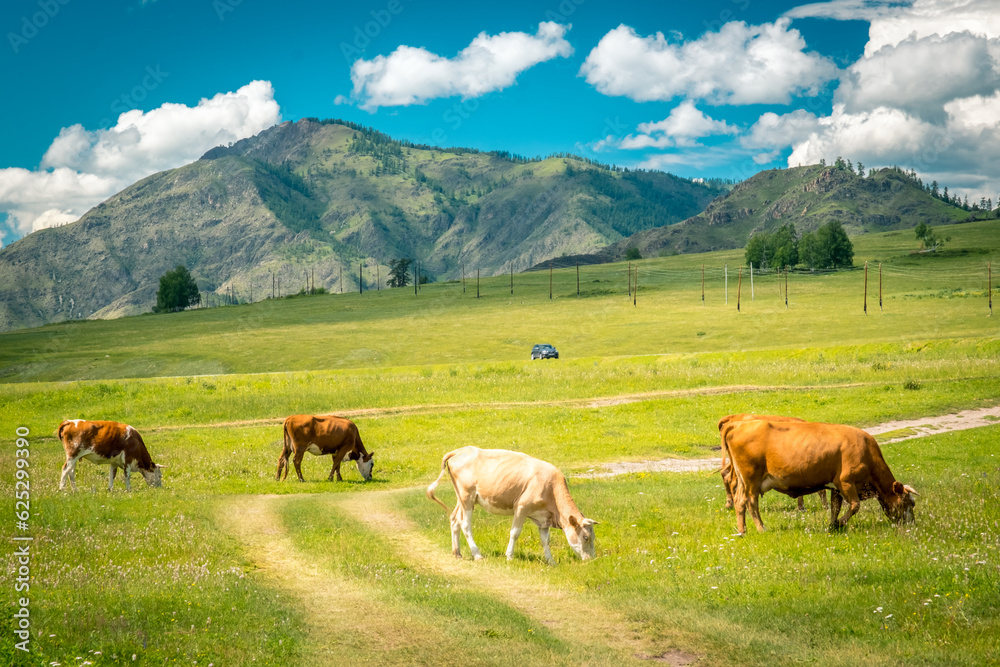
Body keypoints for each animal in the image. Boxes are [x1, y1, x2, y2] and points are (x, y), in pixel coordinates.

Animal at [426, 446, 596, 568]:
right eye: (585, 537)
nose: (592, 560)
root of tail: (461, 450)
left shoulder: (543, 518)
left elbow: (545, 540)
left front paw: (551, 562)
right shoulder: (521, 507)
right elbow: (515, 533)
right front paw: (509, 556)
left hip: (462, 498)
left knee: (454, 519)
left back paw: (457, 553)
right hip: (467, 496)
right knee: (465, 524)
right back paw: (477, 555)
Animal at [724, 420, 916, 536]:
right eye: (907, 503)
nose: (912, 523)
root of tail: (739, 424)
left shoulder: (836, 487)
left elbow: (835, 507)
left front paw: (832, 525)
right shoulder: (846, 482)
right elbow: (855, 506)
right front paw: (840, 523)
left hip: (743, 480)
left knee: (740, 502)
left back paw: (742, 531)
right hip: (752, 479)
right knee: (751, 503)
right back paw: (761, 528)